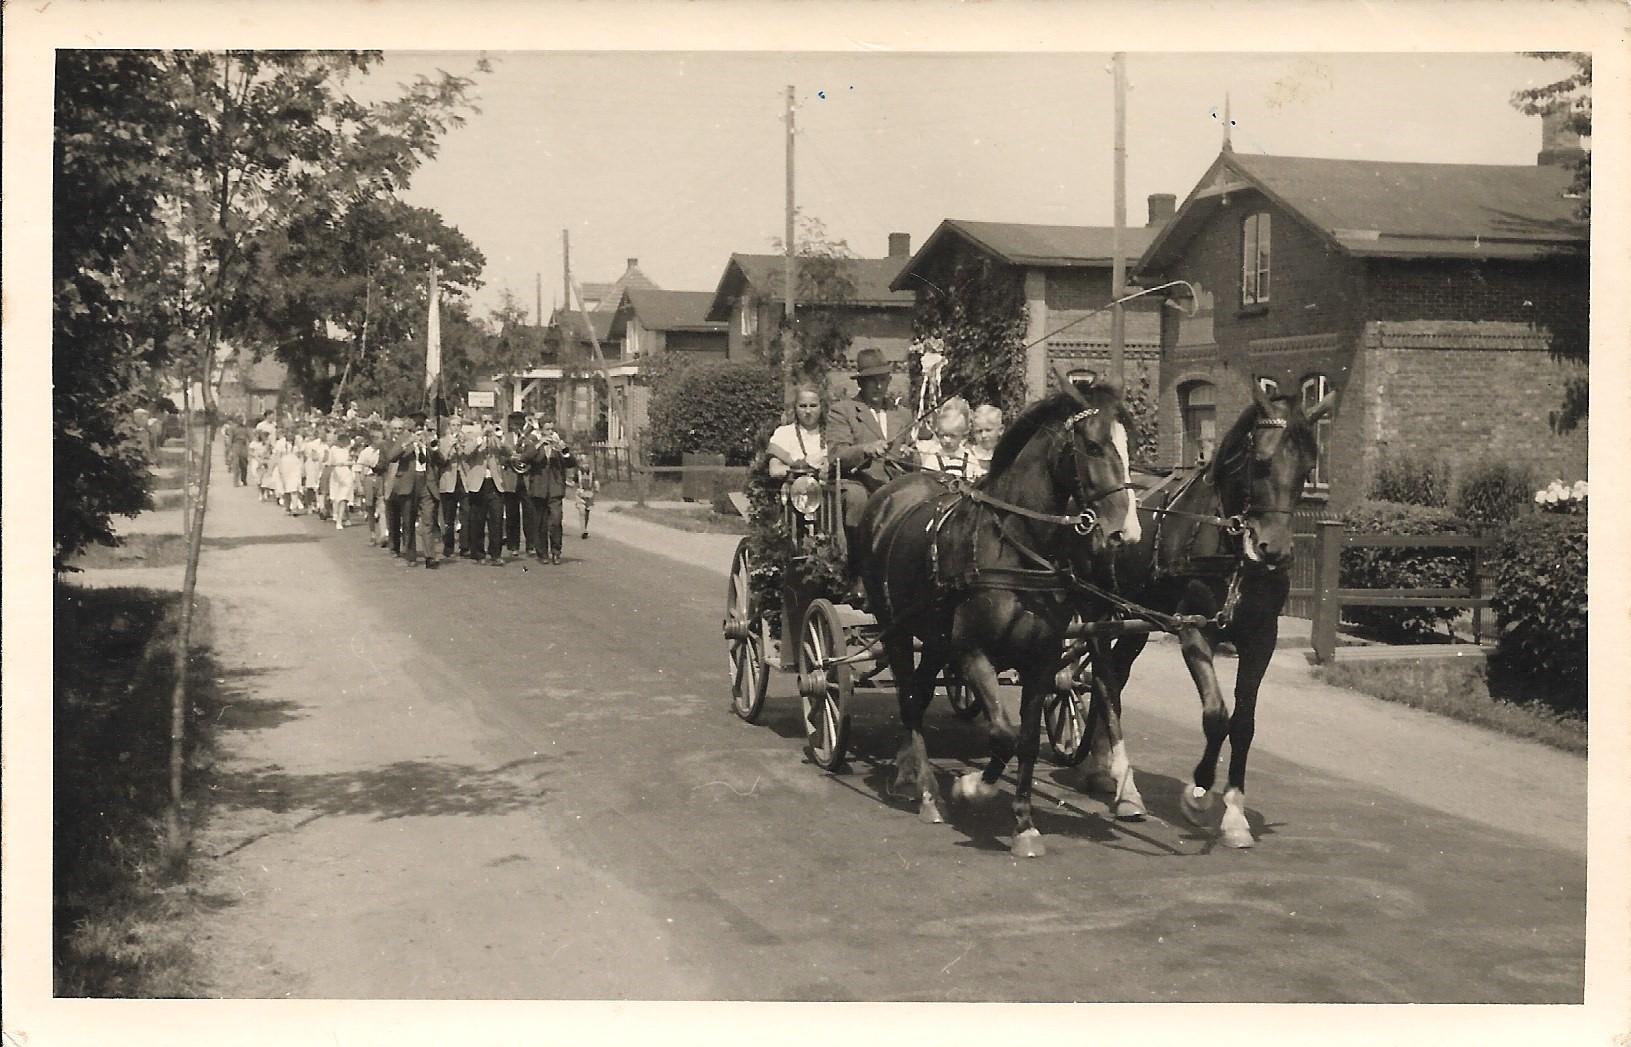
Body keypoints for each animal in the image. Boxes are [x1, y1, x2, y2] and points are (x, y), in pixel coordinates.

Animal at [861, 378, 1141, 854]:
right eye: (1092, 445)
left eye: (1128, 444)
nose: (1127, 532)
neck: (1015, 548)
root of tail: (892, 492)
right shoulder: (973, 654)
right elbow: (1004, 733)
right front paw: (972, 786)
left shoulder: (1042, 661)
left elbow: (1025, 739)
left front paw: (1024, 823)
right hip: (895, 629)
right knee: (909, 702)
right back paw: (927, 793)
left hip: (933, 638)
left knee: (920, 693)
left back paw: (907, 772)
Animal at [1082, 383, 1337, 848]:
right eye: (1262, 462)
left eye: (1309, 467)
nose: (1275, 549)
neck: (1231, 544)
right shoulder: (1194, 630)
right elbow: (1216, 716)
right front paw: (1198, 792)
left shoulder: (1261, 638)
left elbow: (1244, 724)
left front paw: (1234, 814)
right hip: (1094, 608)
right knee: (1105, 683)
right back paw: (1125, 789)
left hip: (1136, 619)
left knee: (1115, 676)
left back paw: (1102, 769)